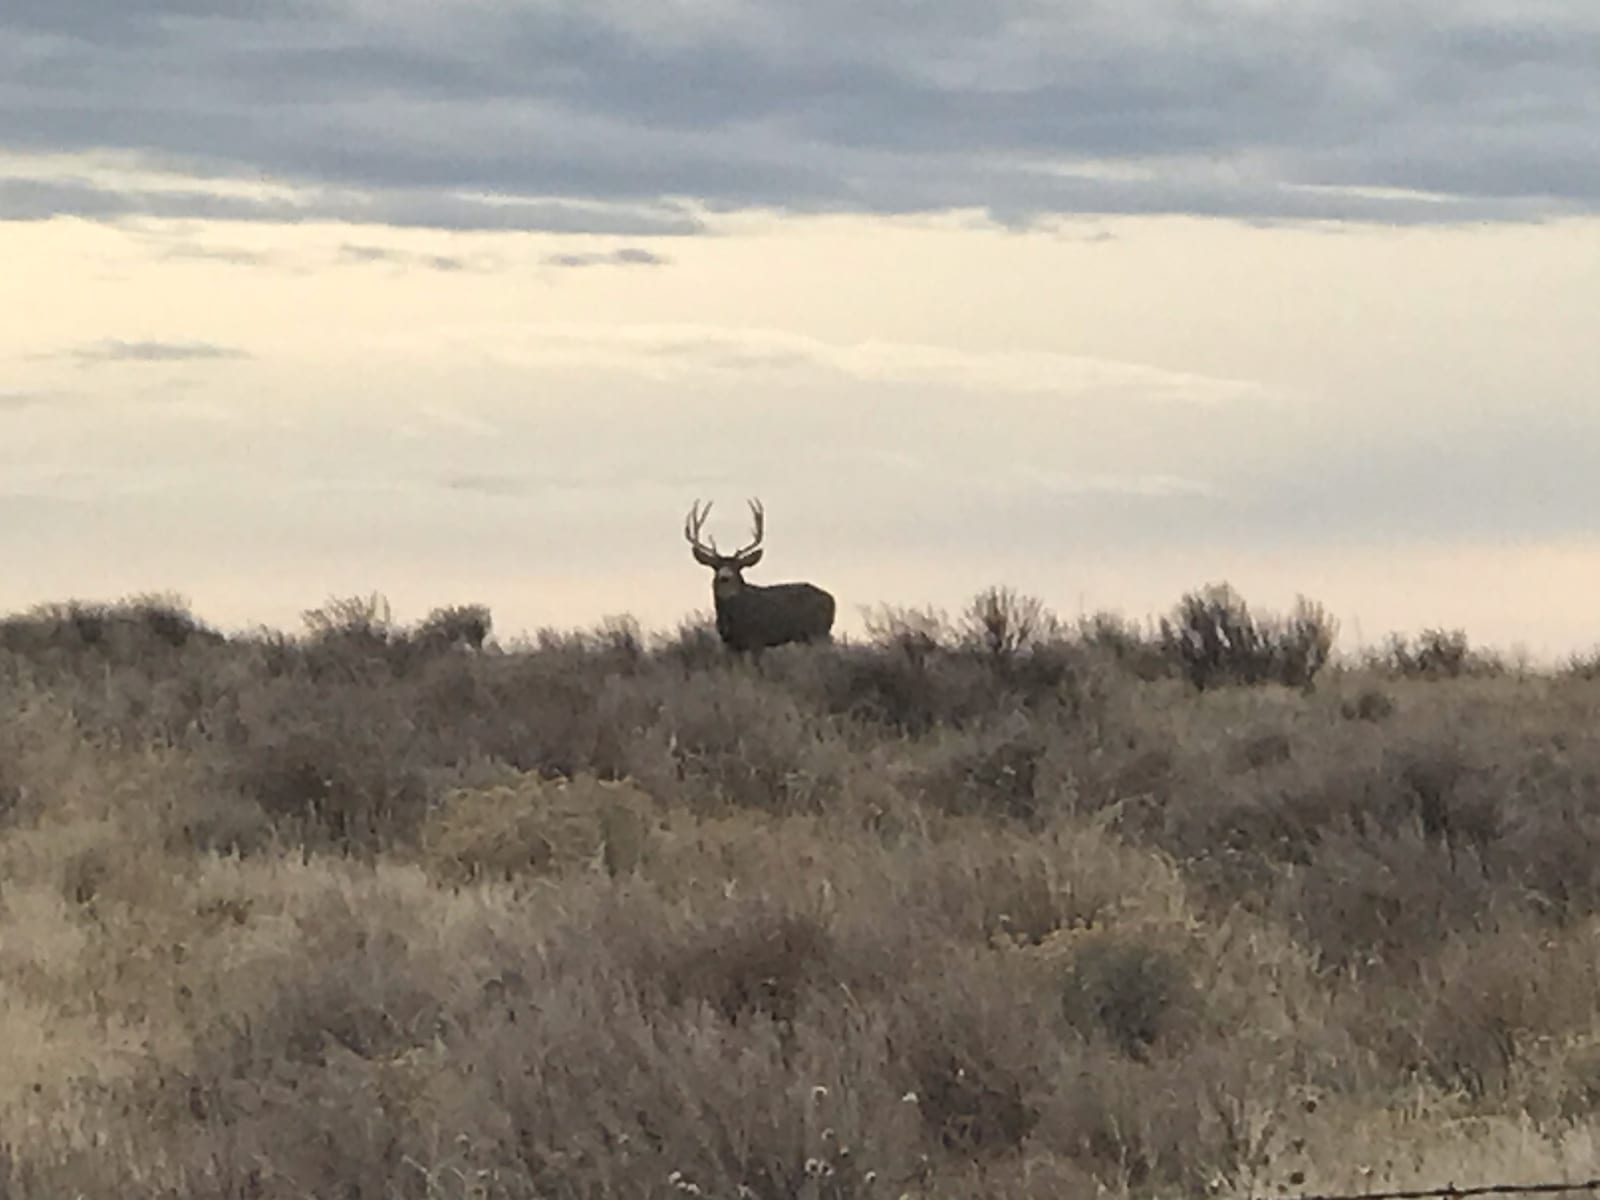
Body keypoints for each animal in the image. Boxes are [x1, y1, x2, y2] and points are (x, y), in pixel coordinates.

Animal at [684, 498, 836, 651]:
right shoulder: (729, 644)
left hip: (818, 631)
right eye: (715, 567)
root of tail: (831, 599)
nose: (725, 577)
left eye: (738, 567)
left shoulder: (757, 639)